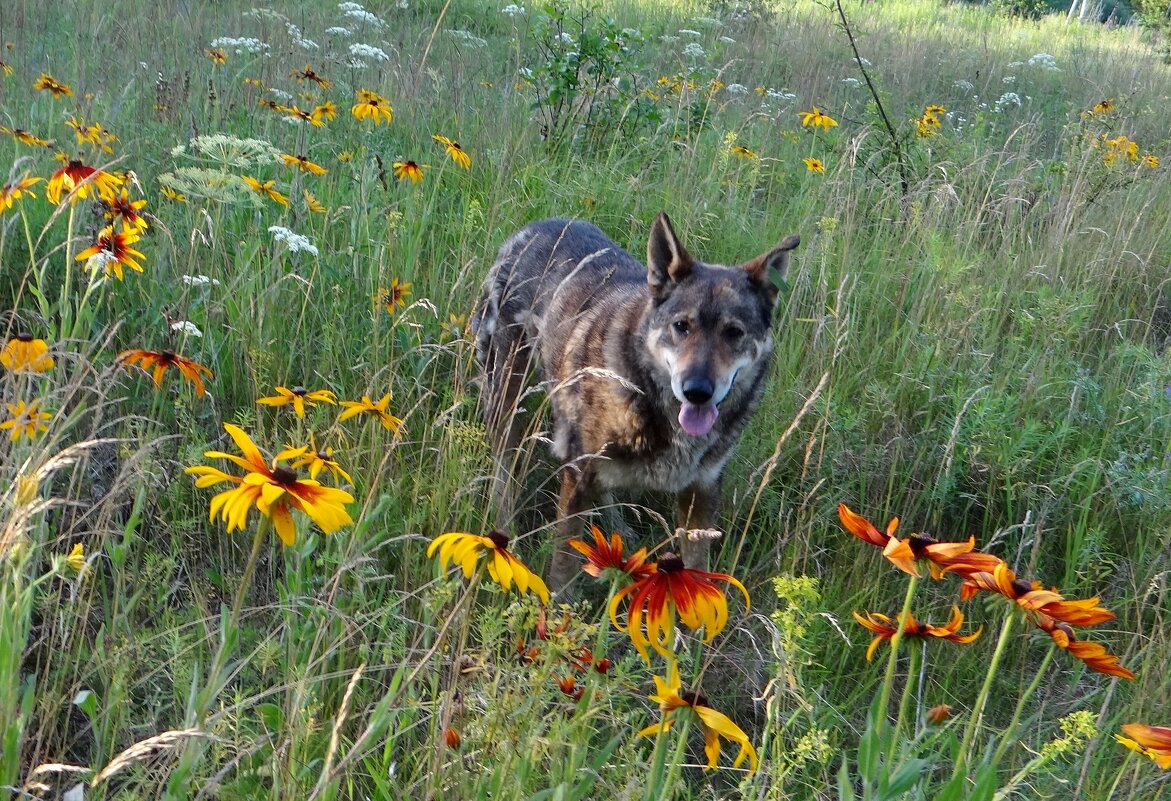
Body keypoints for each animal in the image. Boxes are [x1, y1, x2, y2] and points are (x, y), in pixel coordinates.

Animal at [473, 213, 796, 587]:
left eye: (734, 333)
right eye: (681, 326)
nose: (697, 390)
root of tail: (532, 228)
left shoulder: (700, 494)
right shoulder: (577, 475)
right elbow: (563, 572)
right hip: (506, 398)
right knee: (504, 473)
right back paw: (504, 532)